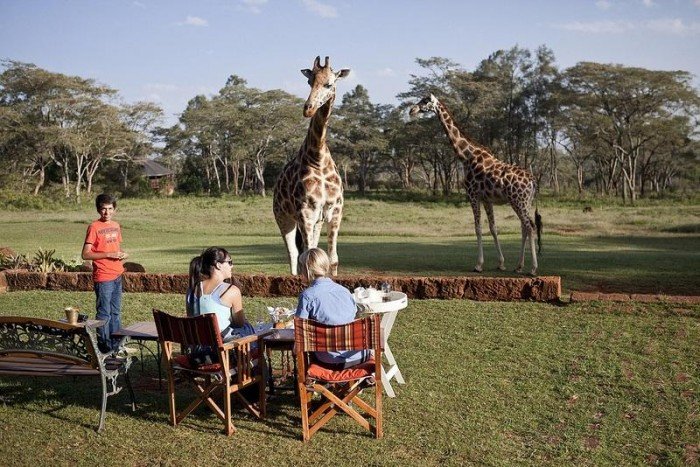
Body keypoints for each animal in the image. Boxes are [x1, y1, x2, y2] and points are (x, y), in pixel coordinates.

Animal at [272, 56, 350, 276]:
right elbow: (306, 256)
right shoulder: (304, 211)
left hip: (317, 220)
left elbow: (332, 259)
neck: (318, 158)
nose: (308, 109)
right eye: (309, 81)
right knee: (293, 255)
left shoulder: (334, 210)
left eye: (329, 84)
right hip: (284, 217)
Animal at [408, 95, 544, 278]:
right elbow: (493, 228)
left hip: (518, 200)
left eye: (425, 101)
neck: (466, 156)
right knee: (524, 226)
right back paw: (519, 266)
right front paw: (501, 263)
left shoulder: (473, 195)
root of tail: (532, 180)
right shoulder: (487, 199)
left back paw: (533, 269)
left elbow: (478, 228)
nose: (412, 110)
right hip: (524, 202)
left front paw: (478, 265)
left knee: (530, 226)